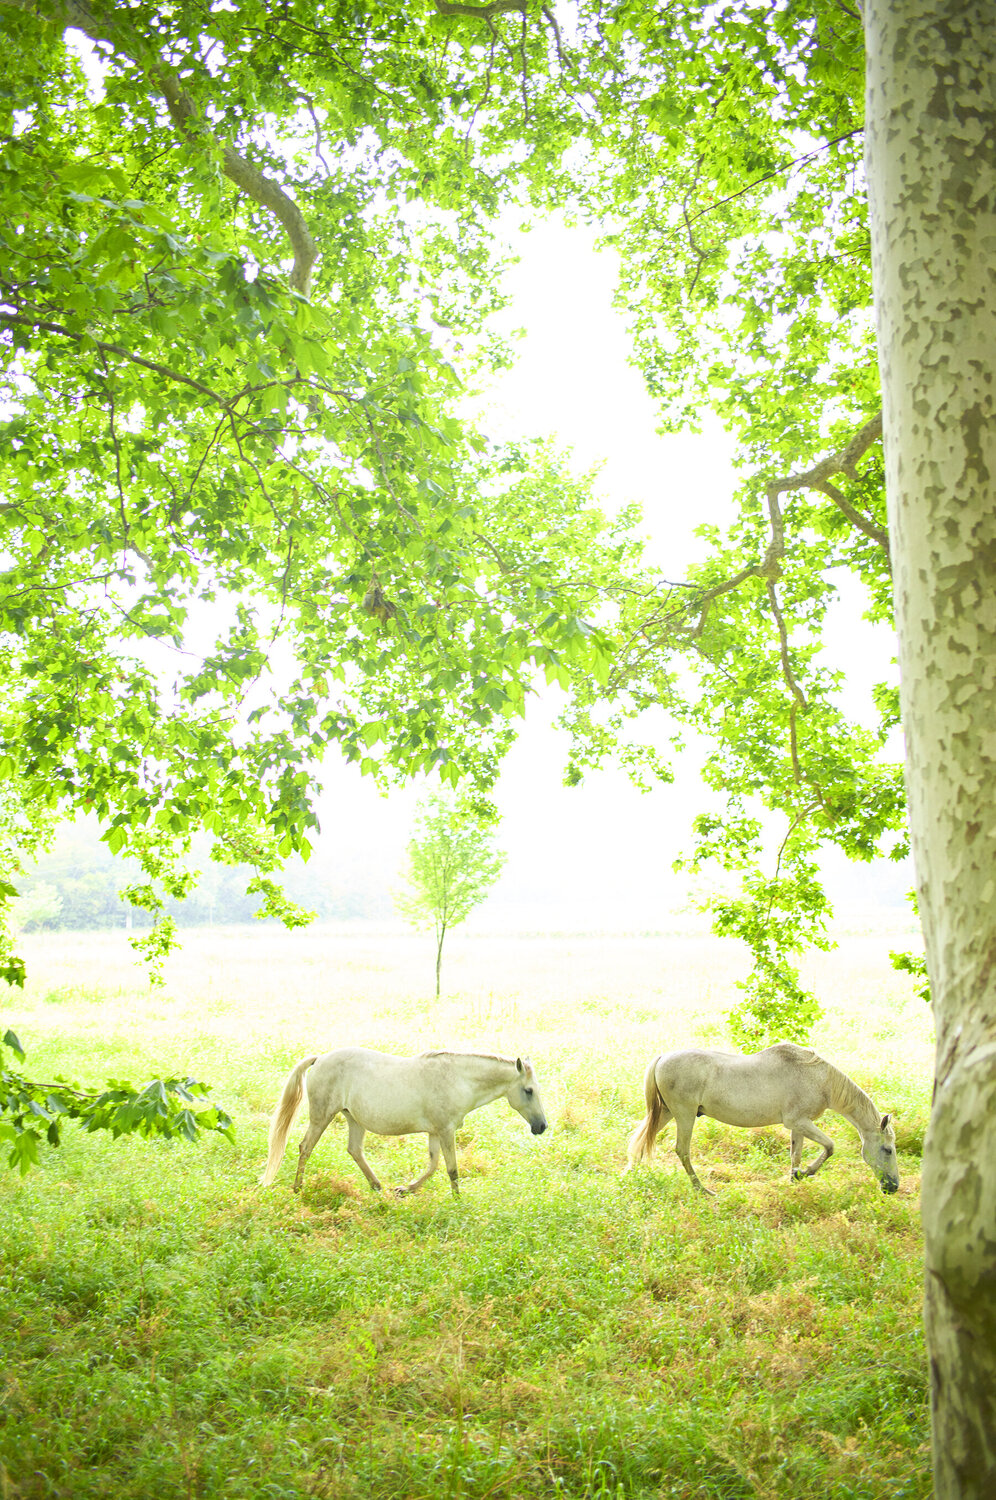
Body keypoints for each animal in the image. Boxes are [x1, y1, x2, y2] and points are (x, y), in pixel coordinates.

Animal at [260, 1047, 547, 1196]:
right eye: (528, 1090)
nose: (542, 1126)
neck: (457, 1079)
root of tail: (319, 1058)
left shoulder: (435, 1132)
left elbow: (432, 1166)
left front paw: (404, 1189)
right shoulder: (446, 1131)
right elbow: (451, 1169)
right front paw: (458, 1200)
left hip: (353, 1118)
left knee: (354, 1150)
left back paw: (377, 1186)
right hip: (322, 1116)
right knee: (305, 1147)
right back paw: (298, 1188)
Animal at [627, 1042, 899, 1195]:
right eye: (887, 1150)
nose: (893, 1187)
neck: (821, 1081)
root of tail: (662, 1058)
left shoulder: (799, 1125)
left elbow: (795, 1154)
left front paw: (795, 1178)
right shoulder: (799, 1122)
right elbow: (830, 1147)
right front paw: (805, 1173)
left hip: (666, 1113)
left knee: (638, 1141)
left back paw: (631, 1176)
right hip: (684, 1115)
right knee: (681, 1150)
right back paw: (702, 1190)